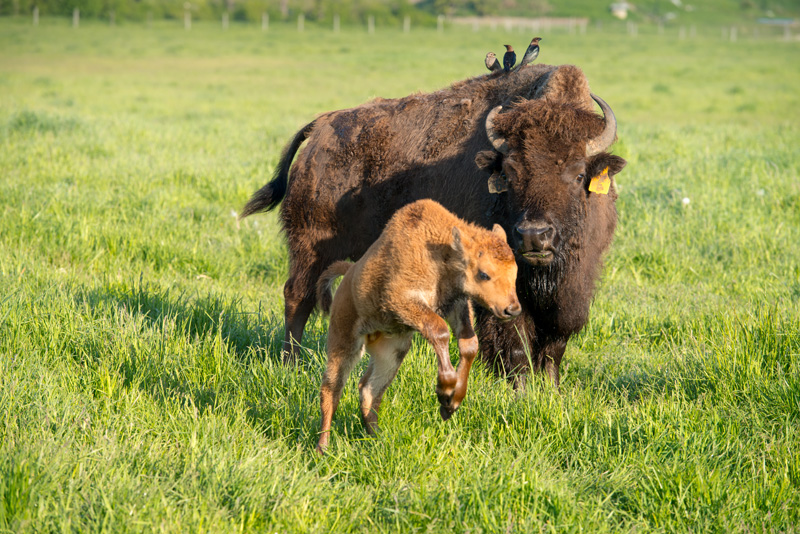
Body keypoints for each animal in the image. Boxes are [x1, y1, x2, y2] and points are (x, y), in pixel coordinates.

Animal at [241, 62, 628, 390]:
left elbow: (554, 344)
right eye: (510, 174)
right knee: (298, 298)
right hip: (310, 247)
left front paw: (551, 390)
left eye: (578, 174)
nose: (534, 235)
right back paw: (291, 364)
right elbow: (514, 338)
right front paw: (519, 390)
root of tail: (320, 126)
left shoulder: (573, 288)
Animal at [312, 201, 520, 456]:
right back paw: (323, 448)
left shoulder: (456, 305)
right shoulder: (403, 301)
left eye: (515, 272)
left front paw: (452, 403)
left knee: (369, 389)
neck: (442, 255)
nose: (512, 309)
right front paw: (445, 392)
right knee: (332, 389)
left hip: (392, 351)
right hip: (344, 342)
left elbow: (469, 344)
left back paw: (378, 439)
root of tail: (349, 273)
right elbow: (440, 331)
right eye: (484, 274)